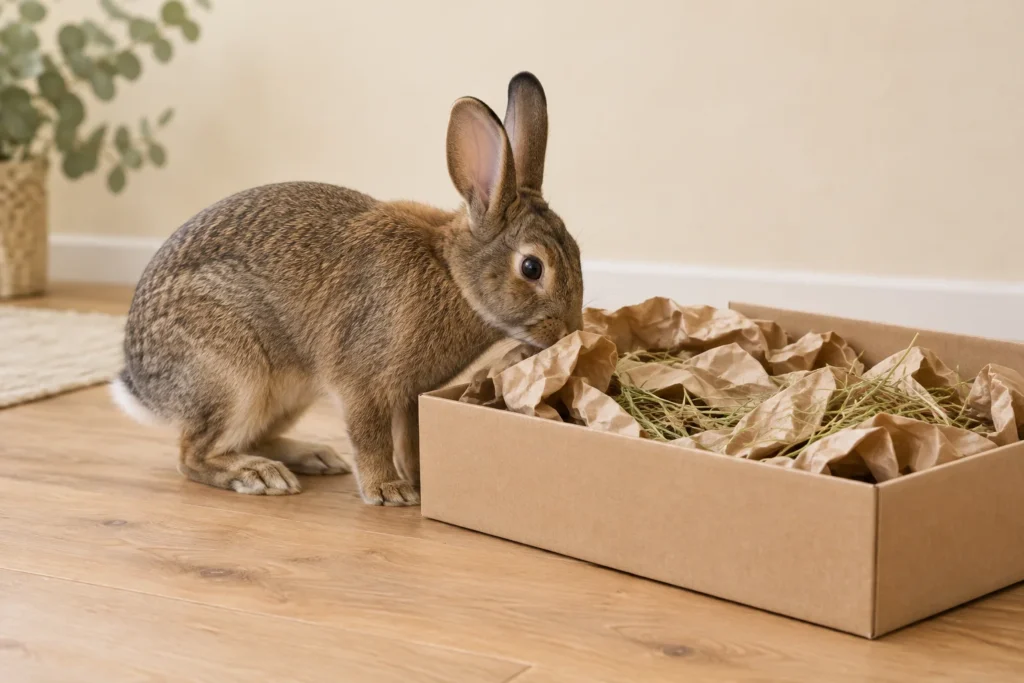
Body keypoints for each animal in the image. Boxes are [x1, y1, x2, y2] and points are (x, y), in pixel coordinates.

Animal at [110, 72, 584, 506]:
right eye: (531, 267)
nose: (569, 332)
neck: (452, 274)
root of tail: (144, 385)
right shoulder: (363, 381)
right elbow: (370, 435)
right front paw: (389, 490)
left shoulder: (411, 394)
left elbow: (411, 437)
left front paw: (420, 479)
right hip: (233, 377)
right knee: (192, 453)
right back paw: (259, 476)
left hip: (285, 396)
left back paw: (313, 457)